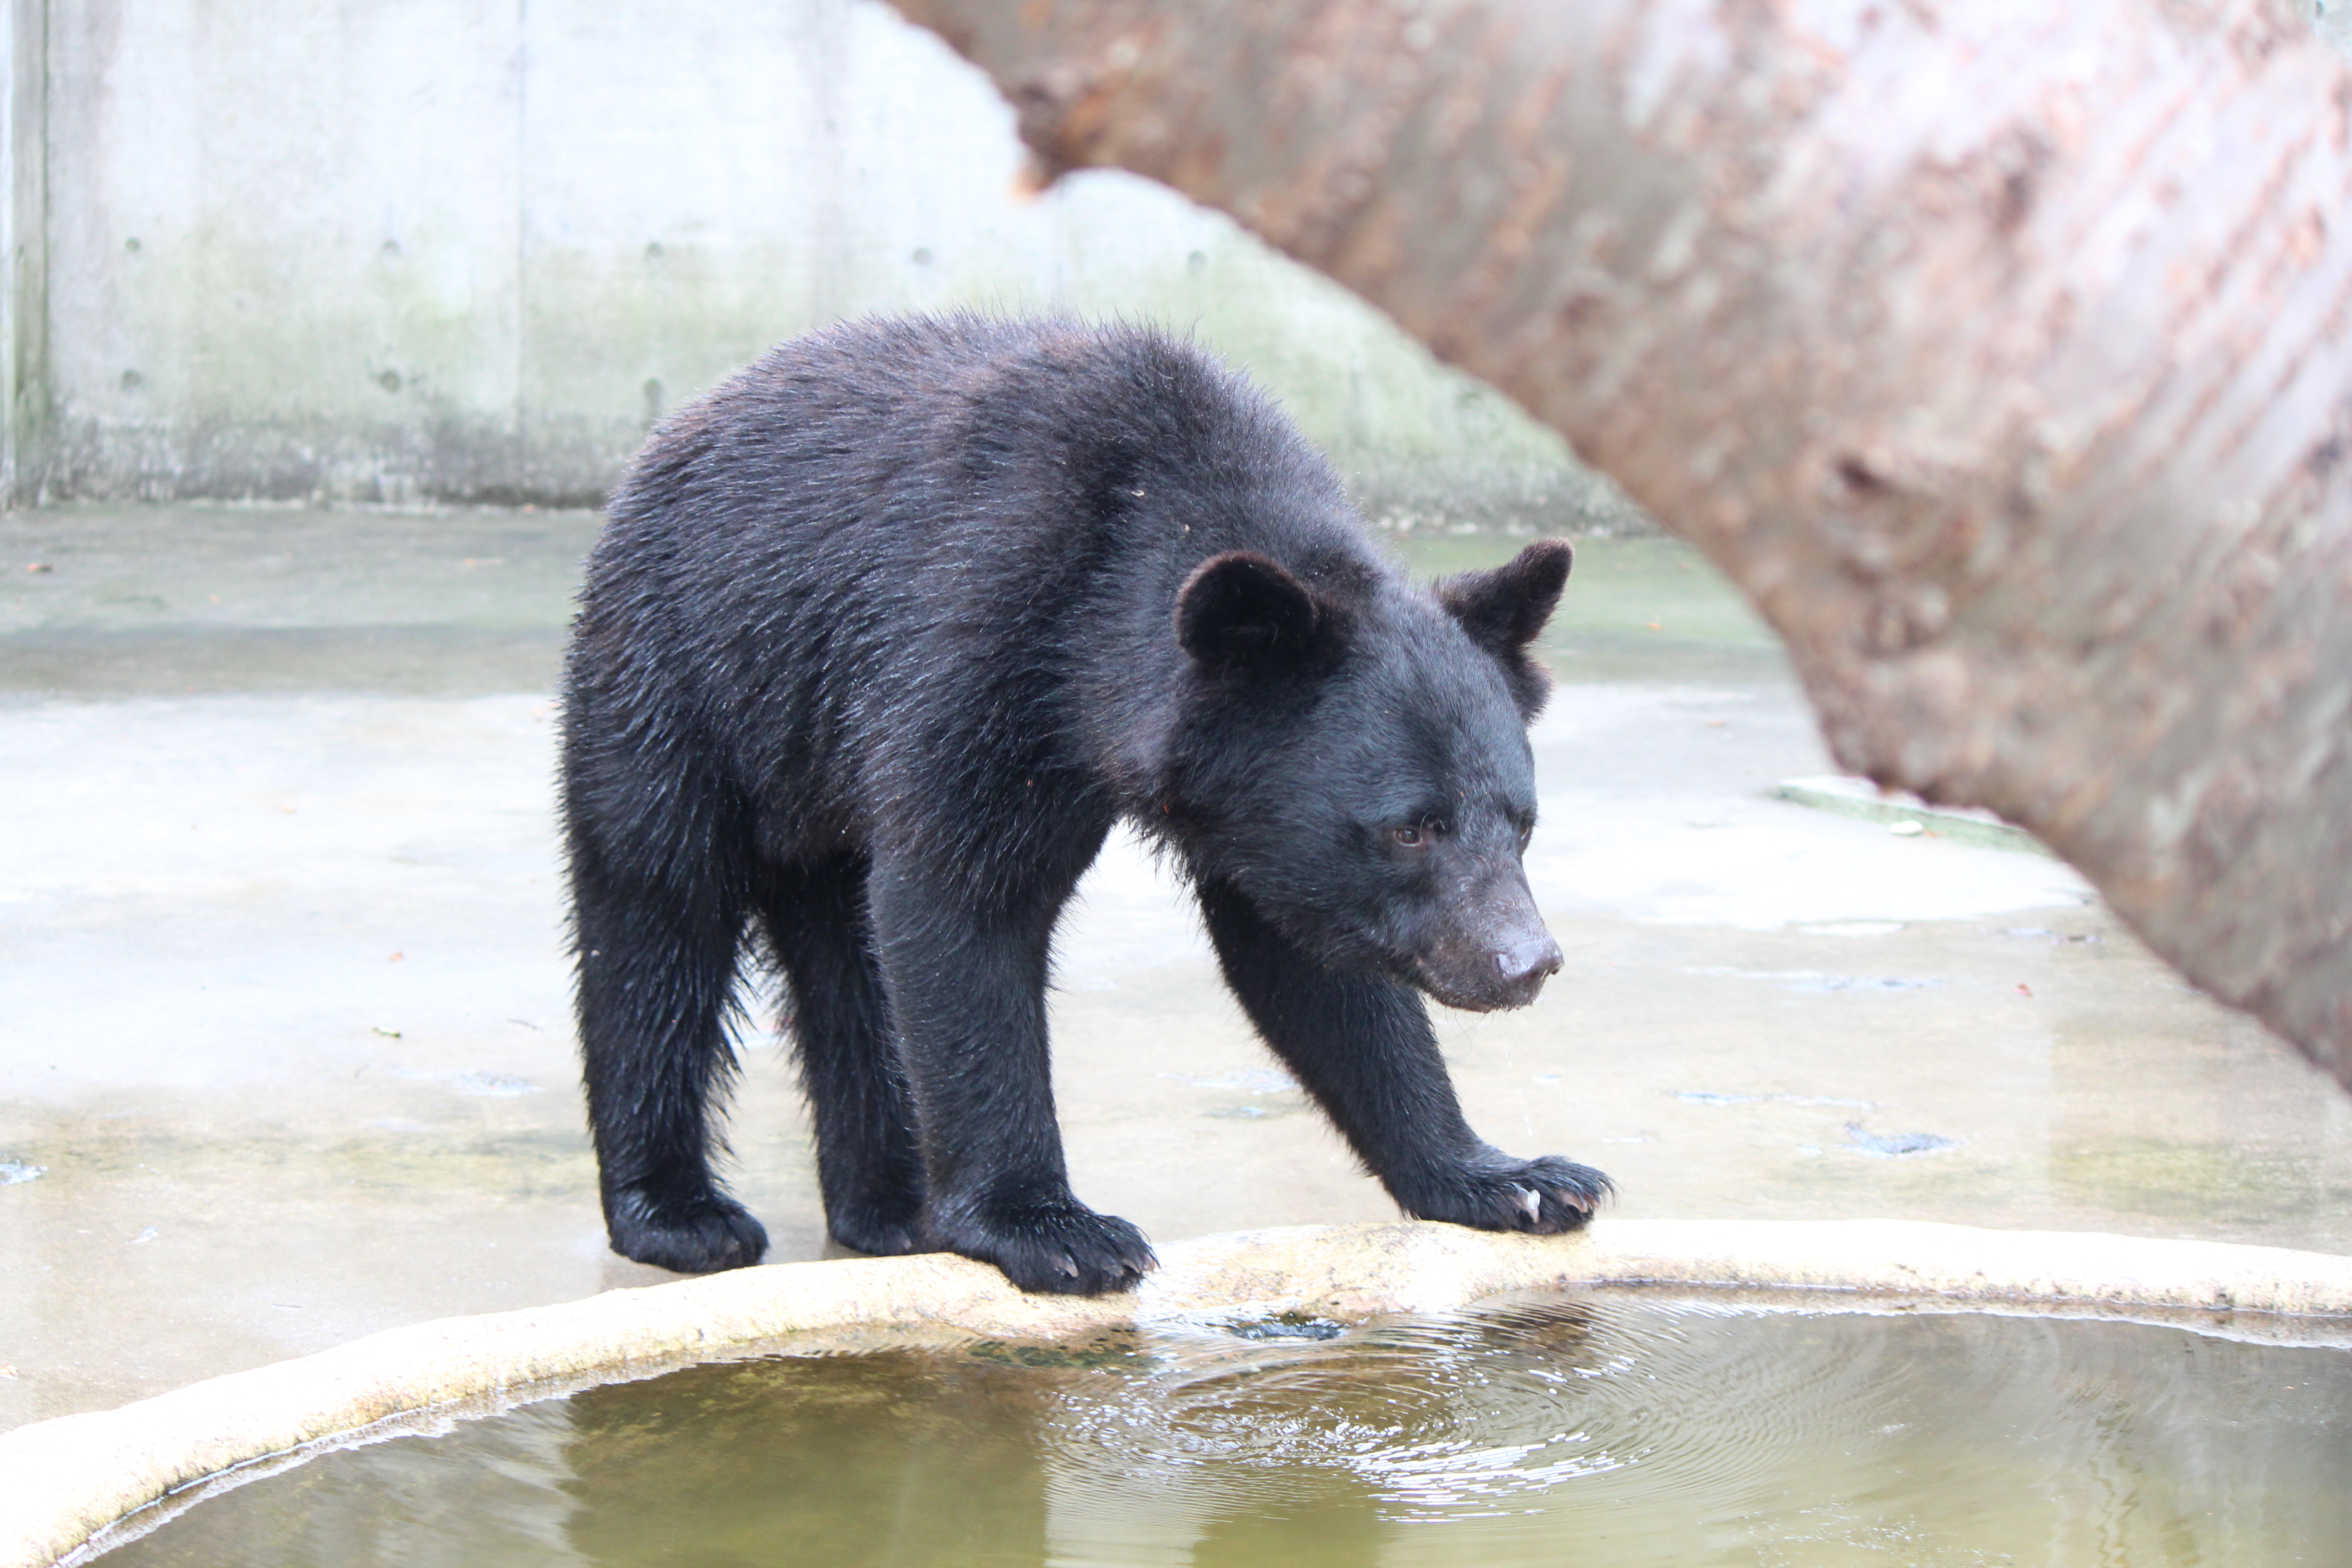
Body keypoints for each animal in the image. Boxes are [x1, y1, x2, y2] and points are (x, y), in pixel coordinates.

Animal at [559, 313, 1608, 1298]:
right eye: (1410, 827)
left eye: (1519, 821)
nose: (1526, 962)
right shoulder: (982, 644)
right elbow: (959, 904)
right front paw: (1055, 1231)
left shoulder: (1255, 808)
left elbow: (1313, 970)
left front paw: (1514, 1177)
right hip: (684, 674)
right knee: (654, 915)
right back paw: (681, 1213)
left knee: (847, 966)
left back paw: (893, 1207)